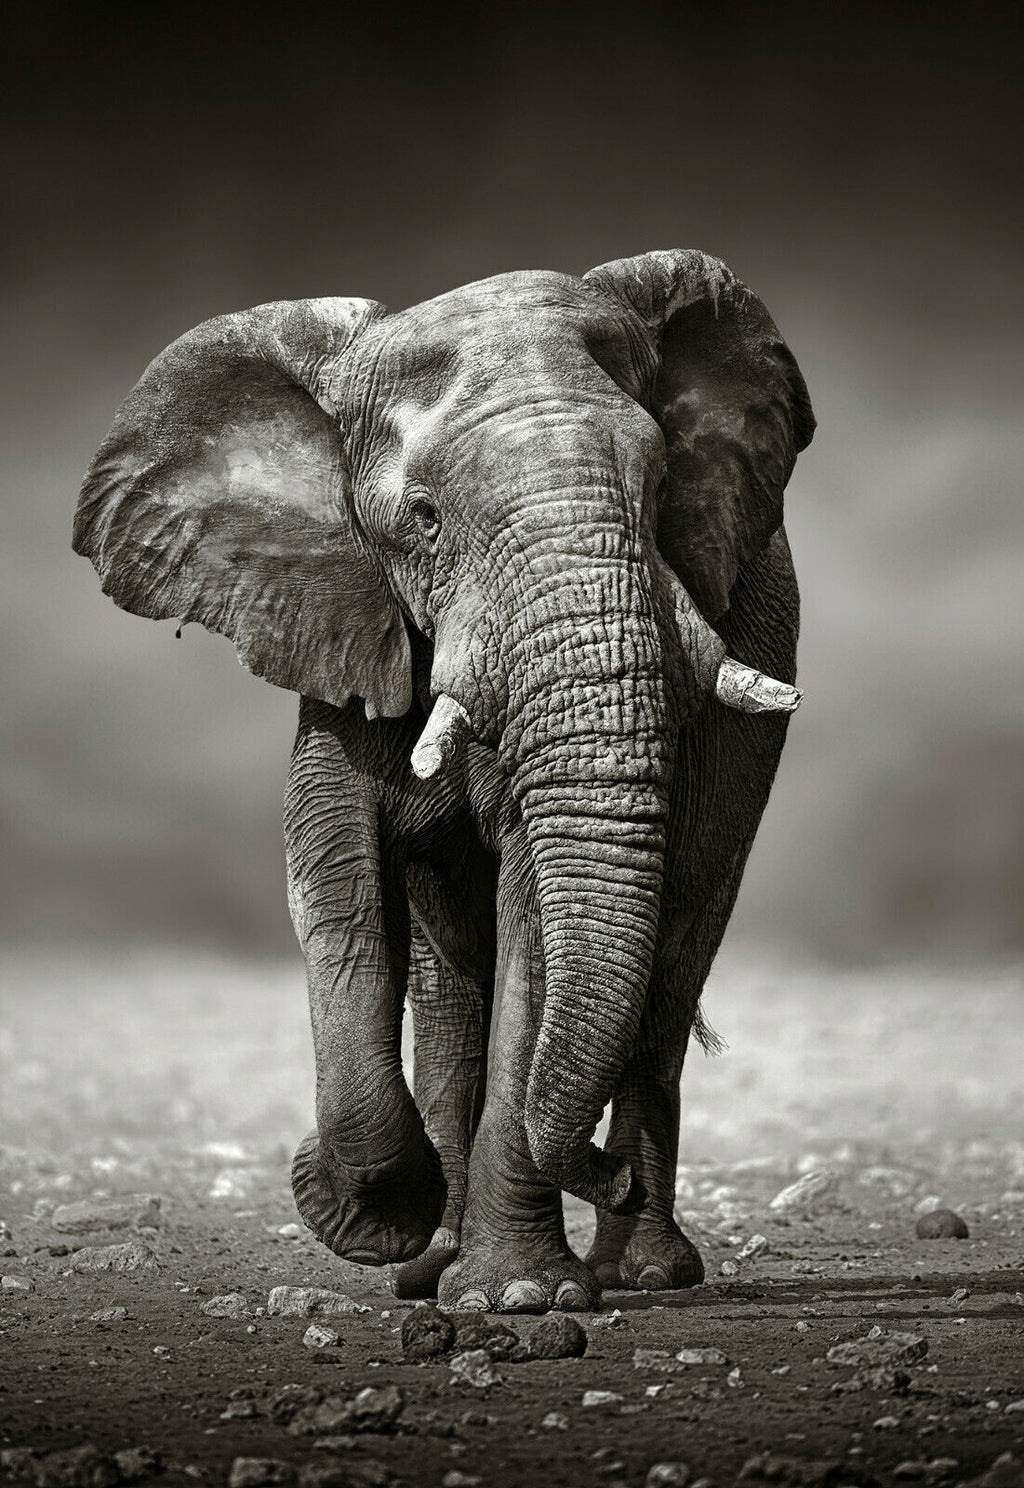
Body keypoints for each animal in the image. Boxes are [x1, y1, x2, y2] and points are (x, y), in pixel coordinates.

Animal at [73, 248, 814, 1313]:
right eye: (422, 520)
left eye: (663, 482)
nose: (602, 1173)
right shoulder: (343, 621)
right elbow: (334, 879)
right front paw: (376, 1218)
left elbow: (535, 913)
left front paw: (521, 1299)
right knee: (452, 986)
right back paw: (436, 1263)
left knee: (671, 960)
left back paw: (640, 1272)